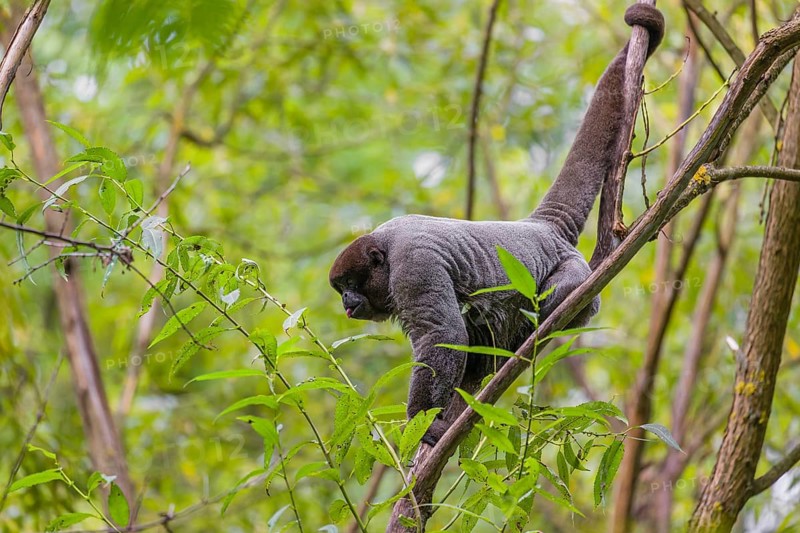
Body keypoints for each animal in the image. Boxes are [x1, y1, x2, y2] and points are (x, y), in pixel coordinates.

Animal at [329, 4, 664, 446]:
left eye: (352, 285)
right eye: (341, 290)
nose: (347, 303)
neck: (385, 245)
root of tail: (541, 228)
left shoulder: (414, 266)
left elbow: (443, 335)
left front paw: (422, 424)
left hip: (574, 273)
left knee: (559, 297)